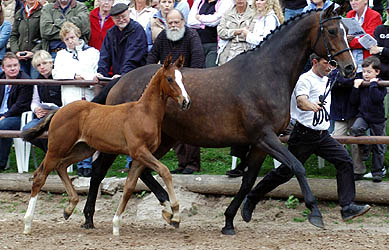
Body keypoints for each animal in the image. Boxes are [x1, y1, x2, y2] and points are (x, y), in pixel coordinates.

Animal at [22, 55, 189, 235]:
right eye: (170, 78)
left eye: (182, 78)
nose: (186, 102)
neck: (144, 113)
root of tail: (58, 110)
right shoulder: (139, 151)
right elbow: (165, 171)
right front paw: (175, 213)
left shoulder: (139, 157)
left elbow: (129, 187)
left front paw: (116, 224)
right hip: (56, 149)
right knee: (40, 176)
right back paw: (28, 223)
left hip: (82, 150)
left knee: (61, 166)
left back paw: (69, 207)